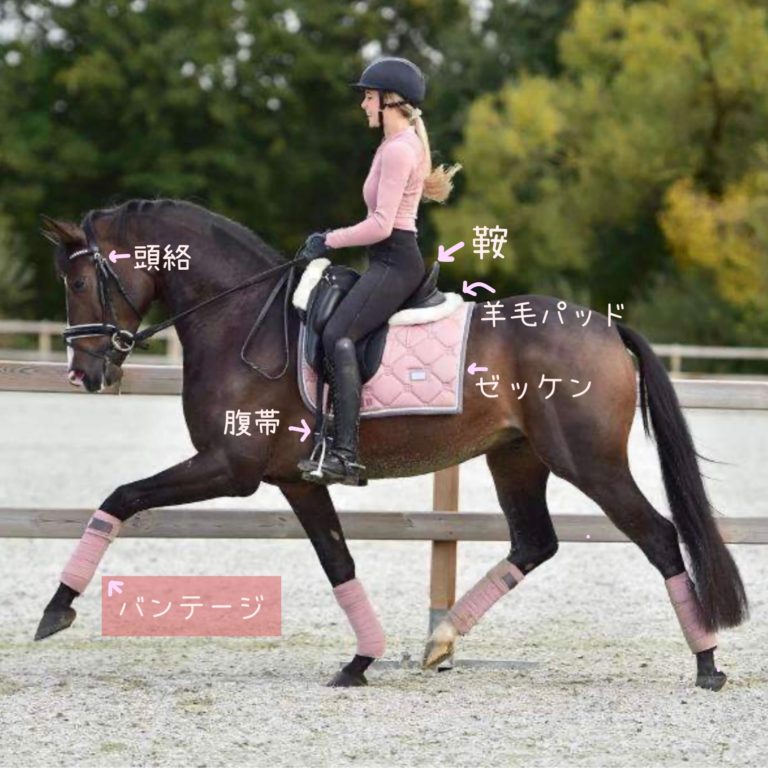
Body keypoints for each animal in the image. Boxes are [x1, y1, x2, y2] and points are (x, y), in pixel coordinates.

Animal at [36, 198, 748, 689]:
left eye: (78, 284)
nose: (84, 374)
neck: (241, 318)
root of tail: (606, 327)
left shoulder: (228, 468)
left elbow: (121, 497)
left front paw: (57, 610)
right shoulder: (295, 478)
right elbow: (338, 562)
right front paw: (360, 660)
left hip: (589, 462)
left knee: (659, 537)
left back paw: (707, 661)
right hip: (515, 456)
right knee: (534, 542)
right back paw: (440, 643)